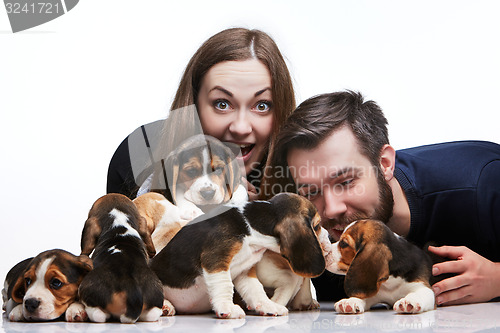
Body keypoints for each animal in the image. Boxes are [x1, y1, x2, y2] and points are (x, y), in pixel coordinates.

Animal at [150, 192, 326, 320]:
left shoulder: (245, 270)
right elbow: (224, 285)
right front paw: (226, 308)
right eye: (317, 225)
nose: (328, 236)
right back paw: (166, 306)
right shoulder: (216, 259)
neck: (252, 227)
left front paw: (268, 306)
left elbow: (256, 290)